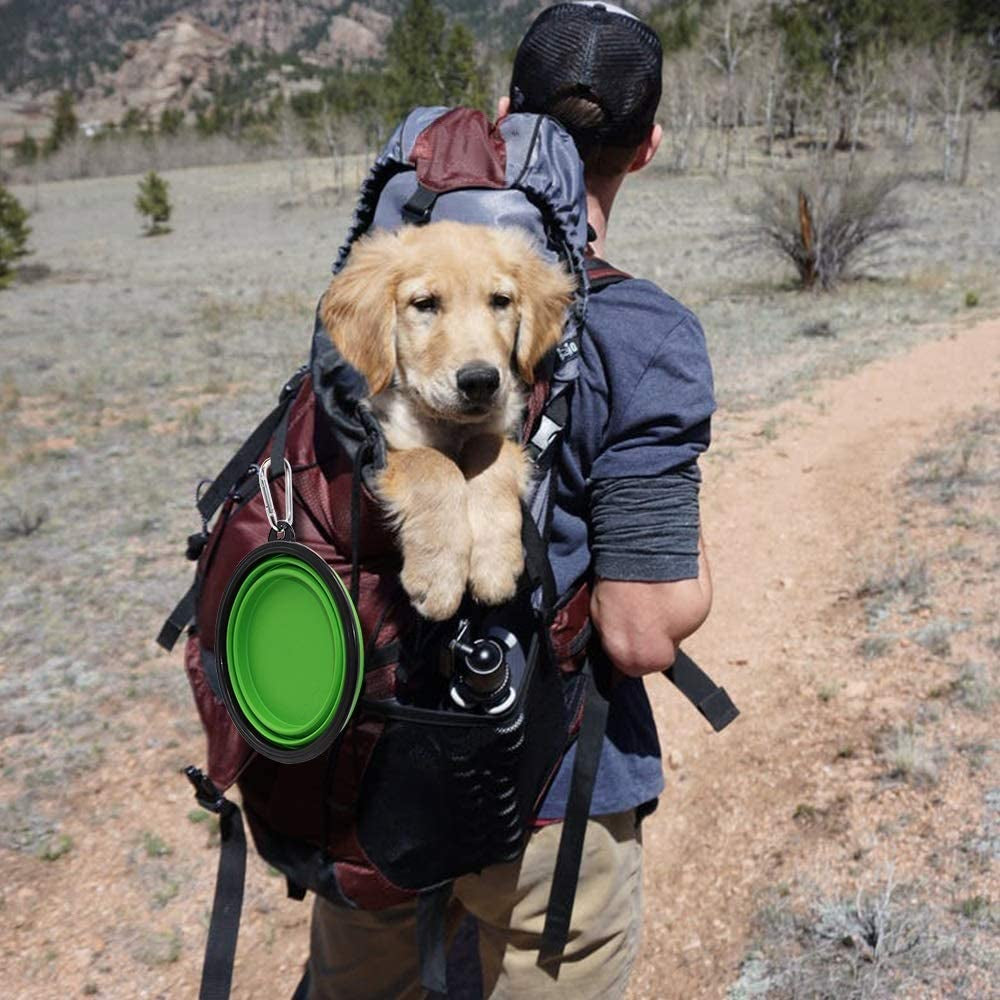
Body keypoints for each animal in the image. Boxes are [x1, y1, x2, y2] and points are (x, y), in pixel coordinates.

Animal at [320, 223, 572, 620]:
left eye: (500, 301)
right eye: (425, 304)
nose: (480, 381)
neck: (451, 426)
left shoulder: (501, 427)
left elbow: (489, 452)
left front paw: (494, 563)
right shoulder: (385, 442)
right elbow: (433, 463)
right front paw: (438, 575)